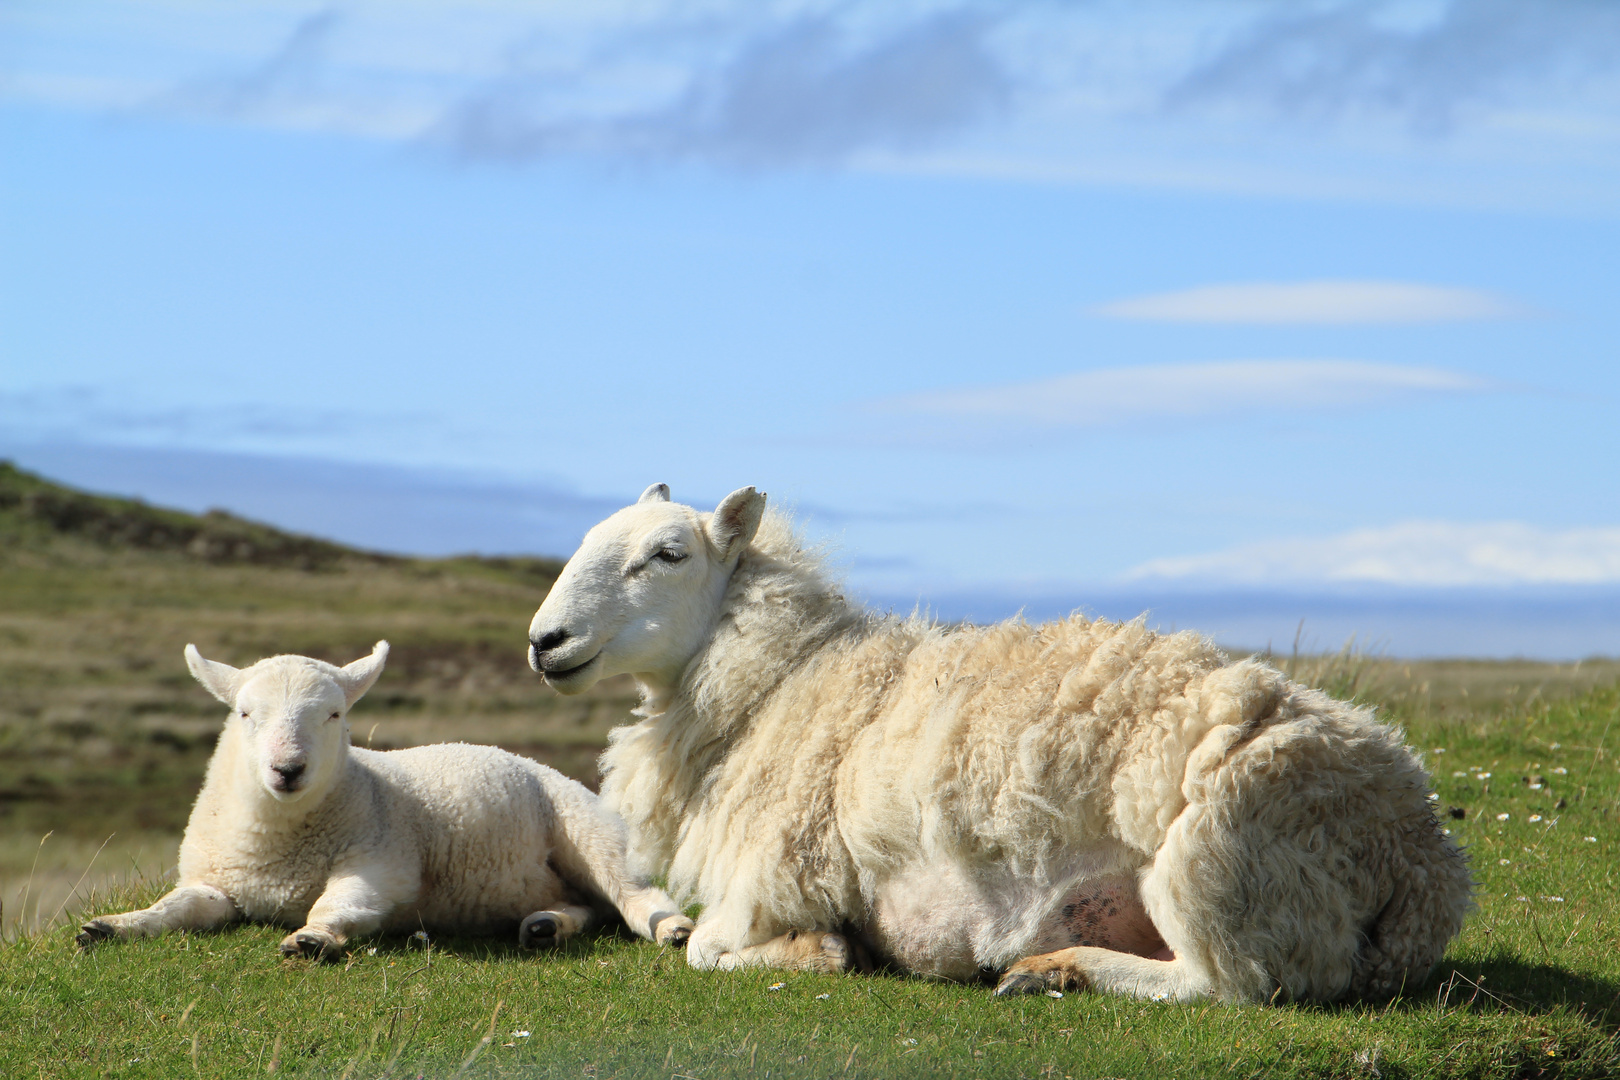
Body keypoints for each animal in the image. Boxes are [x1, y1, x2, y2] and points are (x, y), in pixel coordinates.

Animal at [82, 637, 690, 958]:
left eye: (334, 714)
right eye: (245, 713)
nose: (288, 769)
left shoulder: (381, 862)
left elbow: (340, 903)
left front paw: (313, 938)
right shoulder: (215, 882)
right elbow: (178, 907)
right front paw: (113, 925)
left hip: (588, 831)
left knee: (632, 895)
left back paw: (672, 928)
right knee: (587, 905)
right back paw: (546, 925)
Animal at [524, 482, 1477, 1003]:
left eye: (668, 554)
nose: (545, 641)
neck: (785, 679)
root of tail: (1422, 860)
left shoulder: (773, 877)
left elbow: (706, 951)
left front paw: (821, 953)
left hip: (1221, 865)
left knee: (1230, 985)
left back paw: (1060, 970)